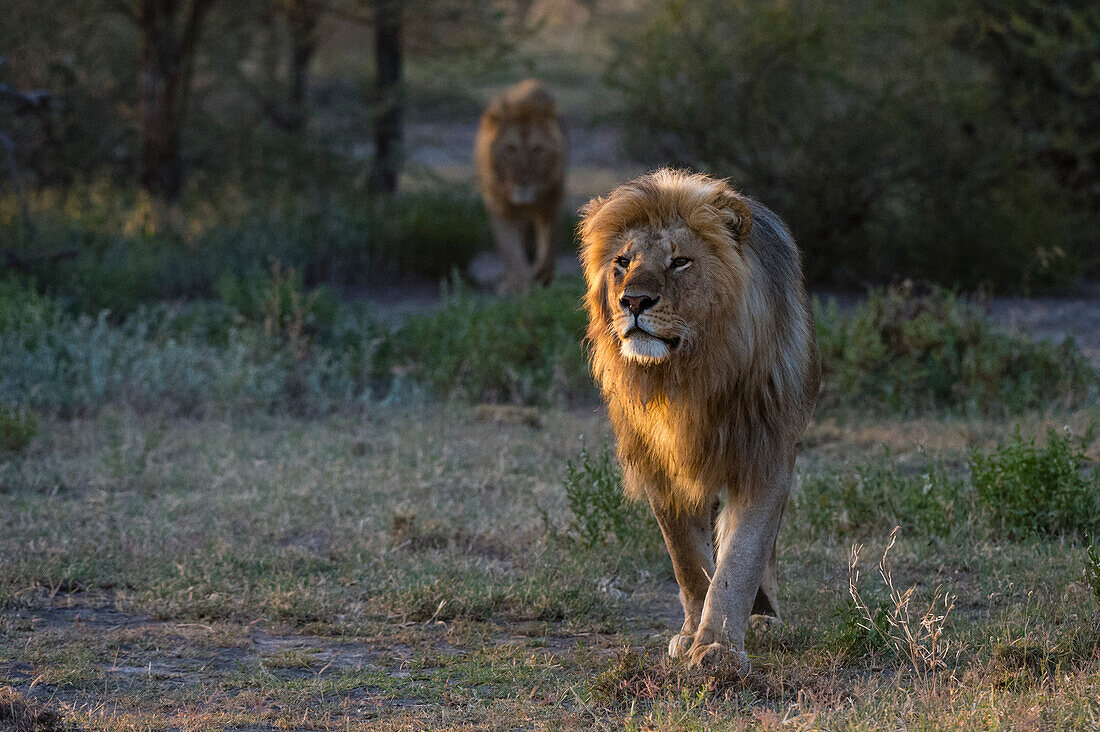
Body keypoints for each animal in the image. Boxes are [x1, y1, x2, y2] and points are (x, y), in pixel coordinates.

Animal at [473, 80, 567, 295]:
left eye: (538, 150)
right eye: (510, 150)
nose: (523, 181)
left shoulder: (551, 202)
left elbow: (548, 250)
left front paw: (541, 276)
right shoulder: (501, 208)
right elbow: (512, 253)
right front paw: (521, 286)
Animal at [580, 167, 822, 669]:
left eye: (680, 263)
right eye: (622, 261)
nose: (634, 301)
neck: (688, 377)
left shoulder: (765, 455)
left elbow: (741, 558)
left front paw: (718, 647)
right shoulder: (659, 465)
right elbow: (688, 561)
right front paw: (693, 633)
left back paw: (764, 617)